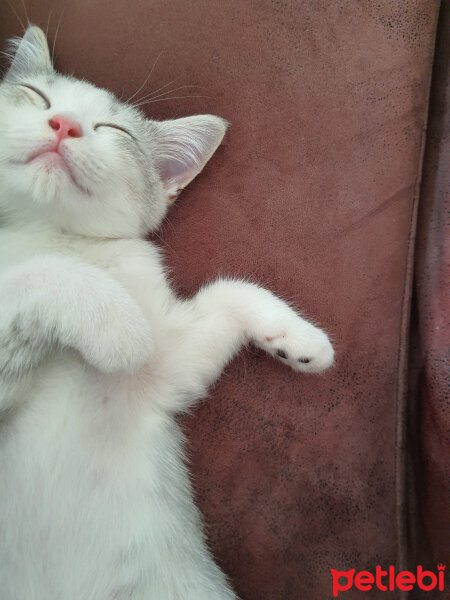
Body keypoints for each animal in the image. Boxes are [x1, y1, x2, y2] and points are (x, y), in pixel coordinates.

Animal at [0, 24, 334, 600]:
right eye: (36, 97)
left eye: (113, 129)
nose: (64, 125)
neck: (54, 233)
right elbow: (38, 273)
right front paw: (119, 326)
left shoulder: (160, 378)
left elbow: (225, 296)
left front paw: (300, 339)